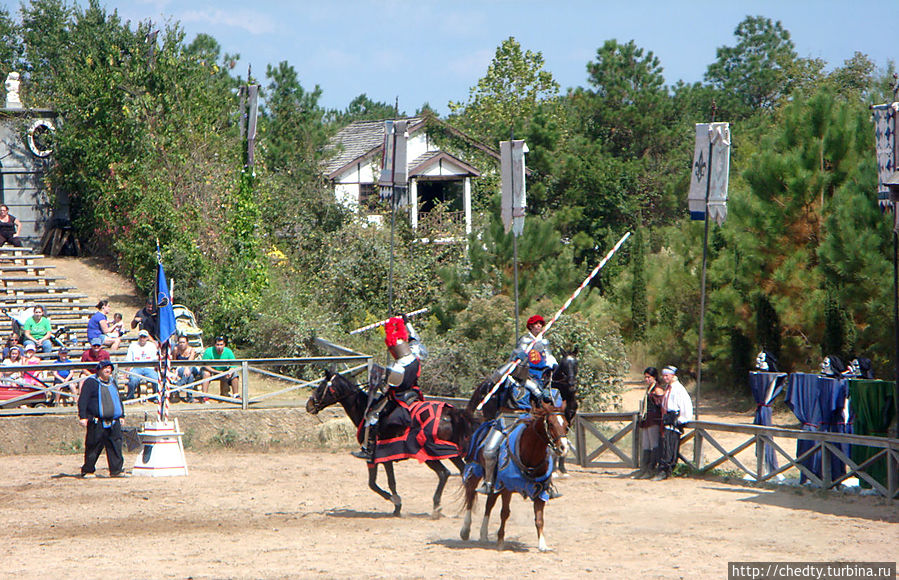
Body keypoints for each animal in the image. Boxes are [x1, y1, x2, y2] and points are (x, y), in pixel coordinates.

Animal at [464, 402, 568, 552]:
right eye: (550, 423)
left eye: (566, 424)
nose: (563, 448)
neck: (530, 456)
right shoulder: (506, 487)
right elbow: (504, 513)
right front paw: (500, 542)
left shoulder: (541, 490)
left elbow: (539, 518)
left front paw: (543, 544)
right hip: (474, 470)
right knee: (470, 496)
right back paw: (465, 530)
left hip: (494, 483)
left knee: (489, 504)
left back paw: (483, 535)